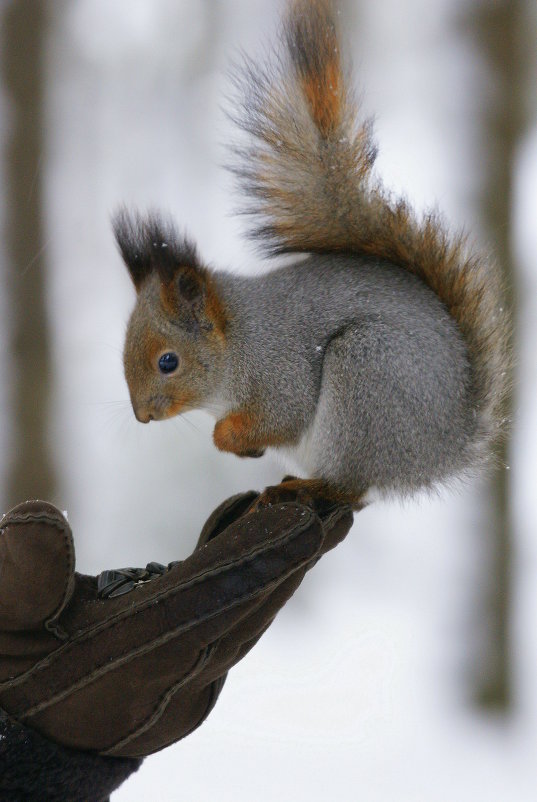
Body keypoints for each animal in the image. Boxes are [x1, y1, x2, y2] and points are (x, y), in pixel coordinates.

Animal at [113, 0, 506, 510]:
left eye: (168, 362)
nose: (142, 415)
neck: (237, 343)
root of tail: (445, 447)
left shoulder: (280, 373)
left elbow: (284, 416)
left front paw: (228, 437)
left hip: (365, 381)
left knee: (351, 487)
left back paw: (308, 486)